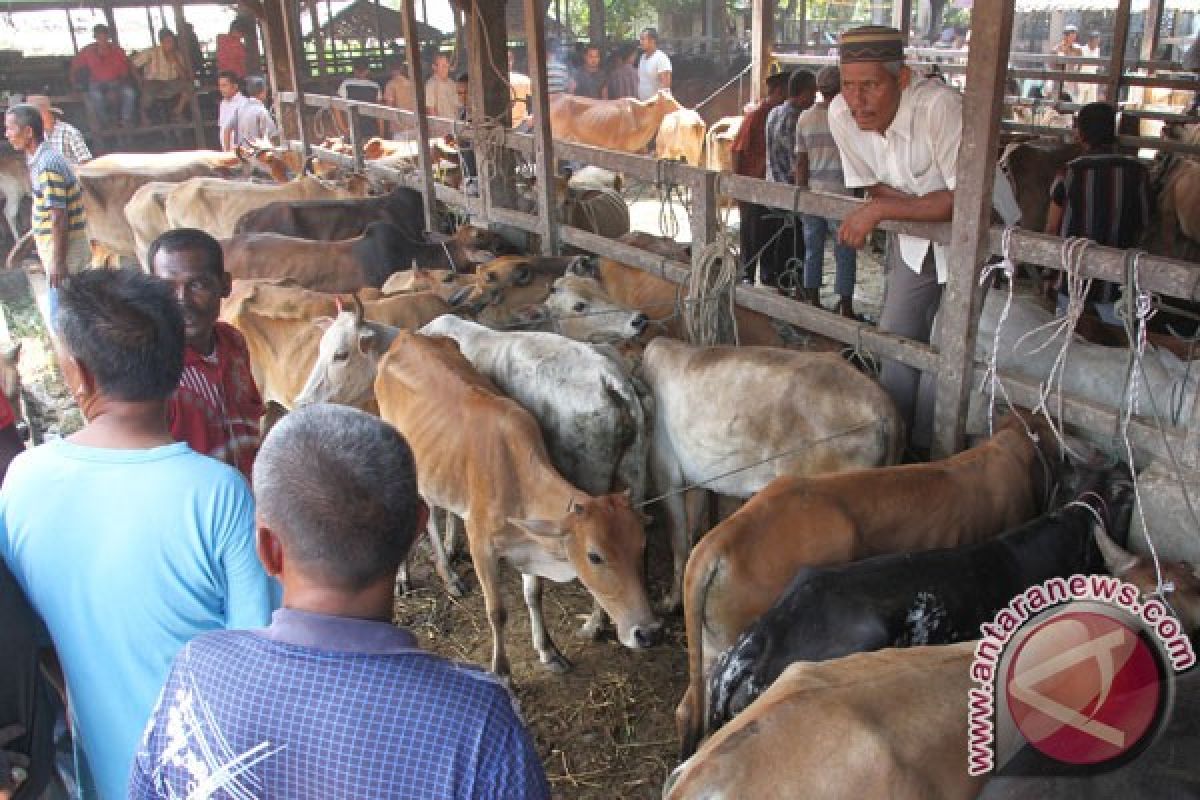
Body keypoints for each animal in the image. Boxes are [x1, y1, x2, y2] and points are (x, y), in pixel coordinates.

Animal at [638, 340, 902, 614]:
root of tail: (885, 408)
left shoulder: (665, 475)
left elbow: (678, 539)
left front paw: (670, 602)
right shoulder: (697, 480)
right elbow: (691, 529)